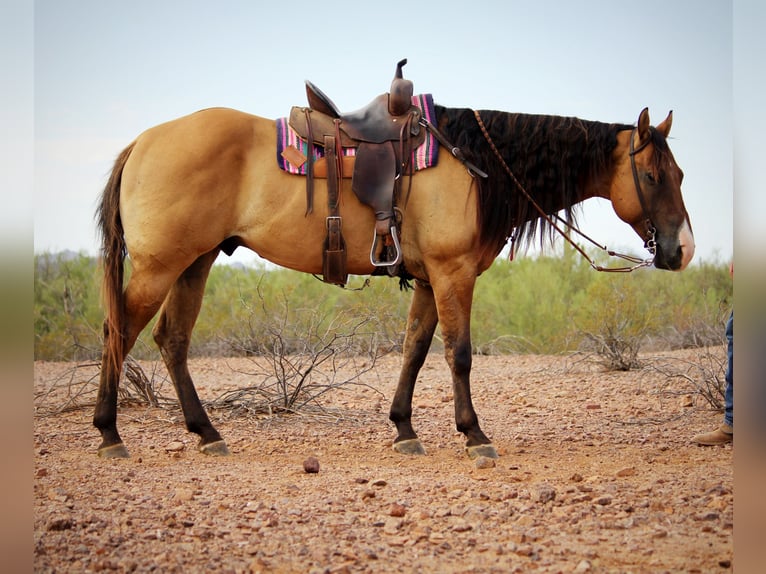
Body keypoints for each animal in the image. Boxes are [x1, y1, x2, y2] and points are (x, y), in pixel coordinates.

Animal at [94, 102, 694, 459]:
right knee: (118, 333)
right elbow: (459, 354)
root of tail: (144, 141)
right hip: (159, 266)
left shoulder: (430, 280)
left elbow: (415, 350)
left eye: (681, 174)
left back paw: (207, 433)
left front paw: (404, 429)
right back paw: (109, 434)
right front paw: (474, 434)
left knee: (171, 340)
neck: (475, 166)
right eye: (651, 175)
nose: (682, 249)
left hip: (193, 263)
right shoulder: (452, 274)